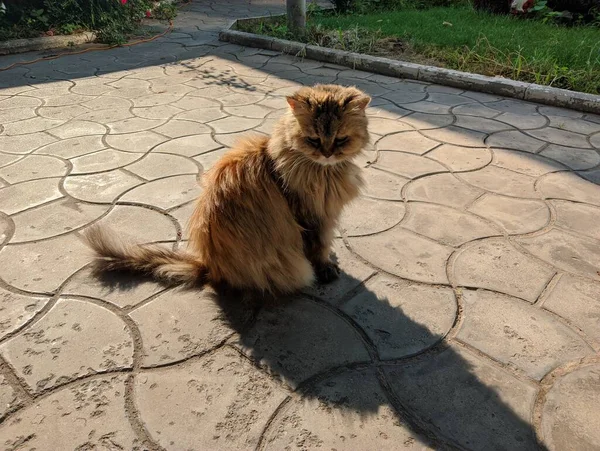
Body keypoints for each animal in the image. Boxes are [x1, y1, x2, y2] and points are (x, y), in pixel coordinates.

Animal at [85, 85, 370, 298]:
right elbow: (319, 246)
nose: (327, 154)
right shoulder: (311, 215)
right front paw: (325, 268)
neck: (323, 172)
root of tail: (210, 266)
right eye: (313, 140)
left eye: (341, 140)